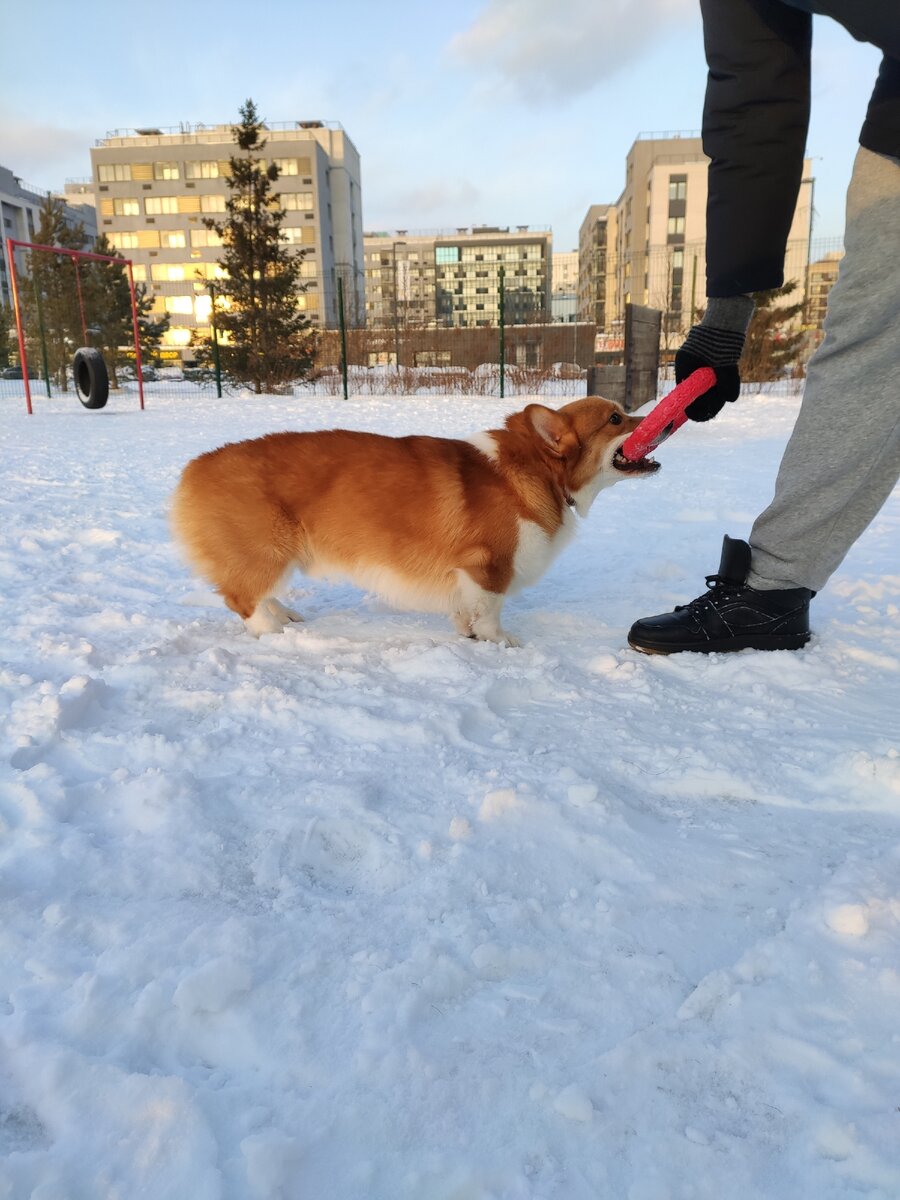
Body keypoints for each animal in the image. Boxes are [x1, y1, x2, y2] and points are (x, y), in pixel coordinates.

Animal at [172, 398, 657, 648]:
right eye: (615, 418)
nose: (663, 421)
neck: (537, 469)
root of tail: (194, 468)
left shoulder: (466, 576)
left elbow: (466, 609)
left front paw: (467, 633)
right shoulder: (489, 567)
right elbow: (491, 612)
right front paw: (499, 642)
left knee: (259, 591)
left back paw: (284, 615)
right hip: (267, 549)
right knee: (243, 598)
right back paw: (272, 631)